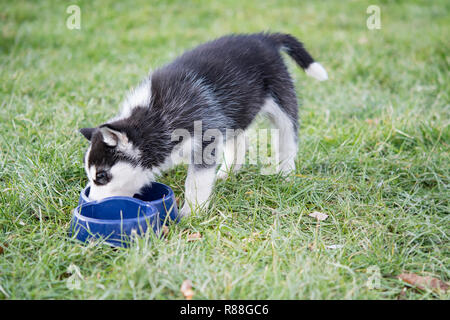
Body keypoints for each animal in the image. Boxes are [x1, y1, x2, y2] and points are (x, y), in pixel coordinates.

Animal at [80, 32, 326, 216]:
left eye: (102, 177)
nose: (90, 204)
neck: (155, 116)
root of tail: (262, 38)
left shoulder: (204, 138)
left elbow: (196, 181)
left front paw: (191, 213)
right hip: (235, 111)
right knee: (239, 140)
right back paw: (227, 172)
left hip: (281, 100)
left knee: (287, 137)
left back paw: (285, 173)